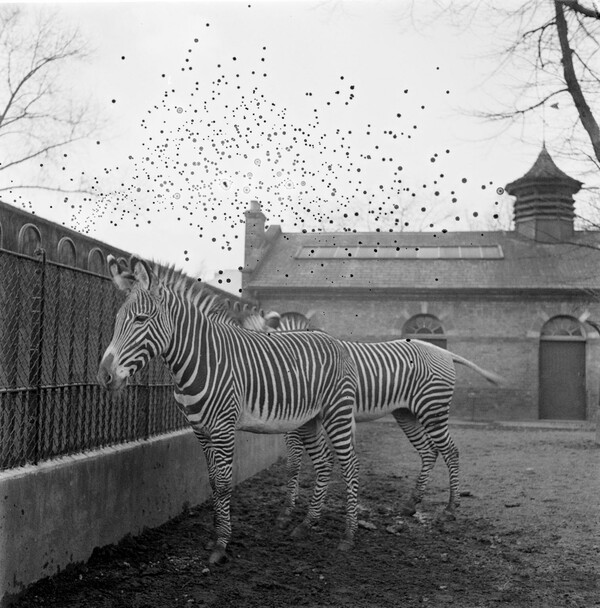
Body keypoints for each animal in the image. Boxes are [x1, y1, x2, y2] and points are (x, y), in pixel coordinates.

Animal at [97, 258, 360, 564]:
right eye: (117, 320)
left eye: (140, 319)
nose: (104, 376)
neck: (200, 358)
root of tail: (332, 340)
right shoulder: (200, 429)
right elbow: (212, 481)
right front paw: (213, 536)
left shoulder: (223, 427)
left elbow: (223, 483)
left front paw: (222, 544)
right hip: (309, 419)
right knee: (324, 462)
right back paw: (307, 524)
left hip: (337, 413)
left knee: (350, 466)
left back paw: (348, 536)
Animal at [243, 308, 502, 524]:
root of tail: (444, 351)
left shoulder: (300, 421)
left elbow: (294, 464)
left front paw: (288, 510)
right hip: (406, 413)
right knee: (429, 451)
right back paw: (410, 505)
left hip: (432, 409)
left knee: (451, 452)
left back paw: (450, 508)